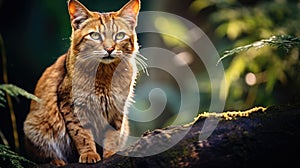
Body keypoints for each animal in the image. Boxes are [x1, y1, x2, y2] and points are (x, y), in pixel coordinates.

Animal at [23, 0, 141, 165]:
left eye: (120, 35)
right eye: (95, 35)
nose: (110, 48)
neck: (104, 75)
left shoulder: (117, 108)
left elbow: (112, 136)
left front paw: (110, 154)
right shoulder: (72, 105)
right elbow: (82, 134)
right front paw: (89, 154)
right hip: (34, 126)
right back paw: (57, 162)